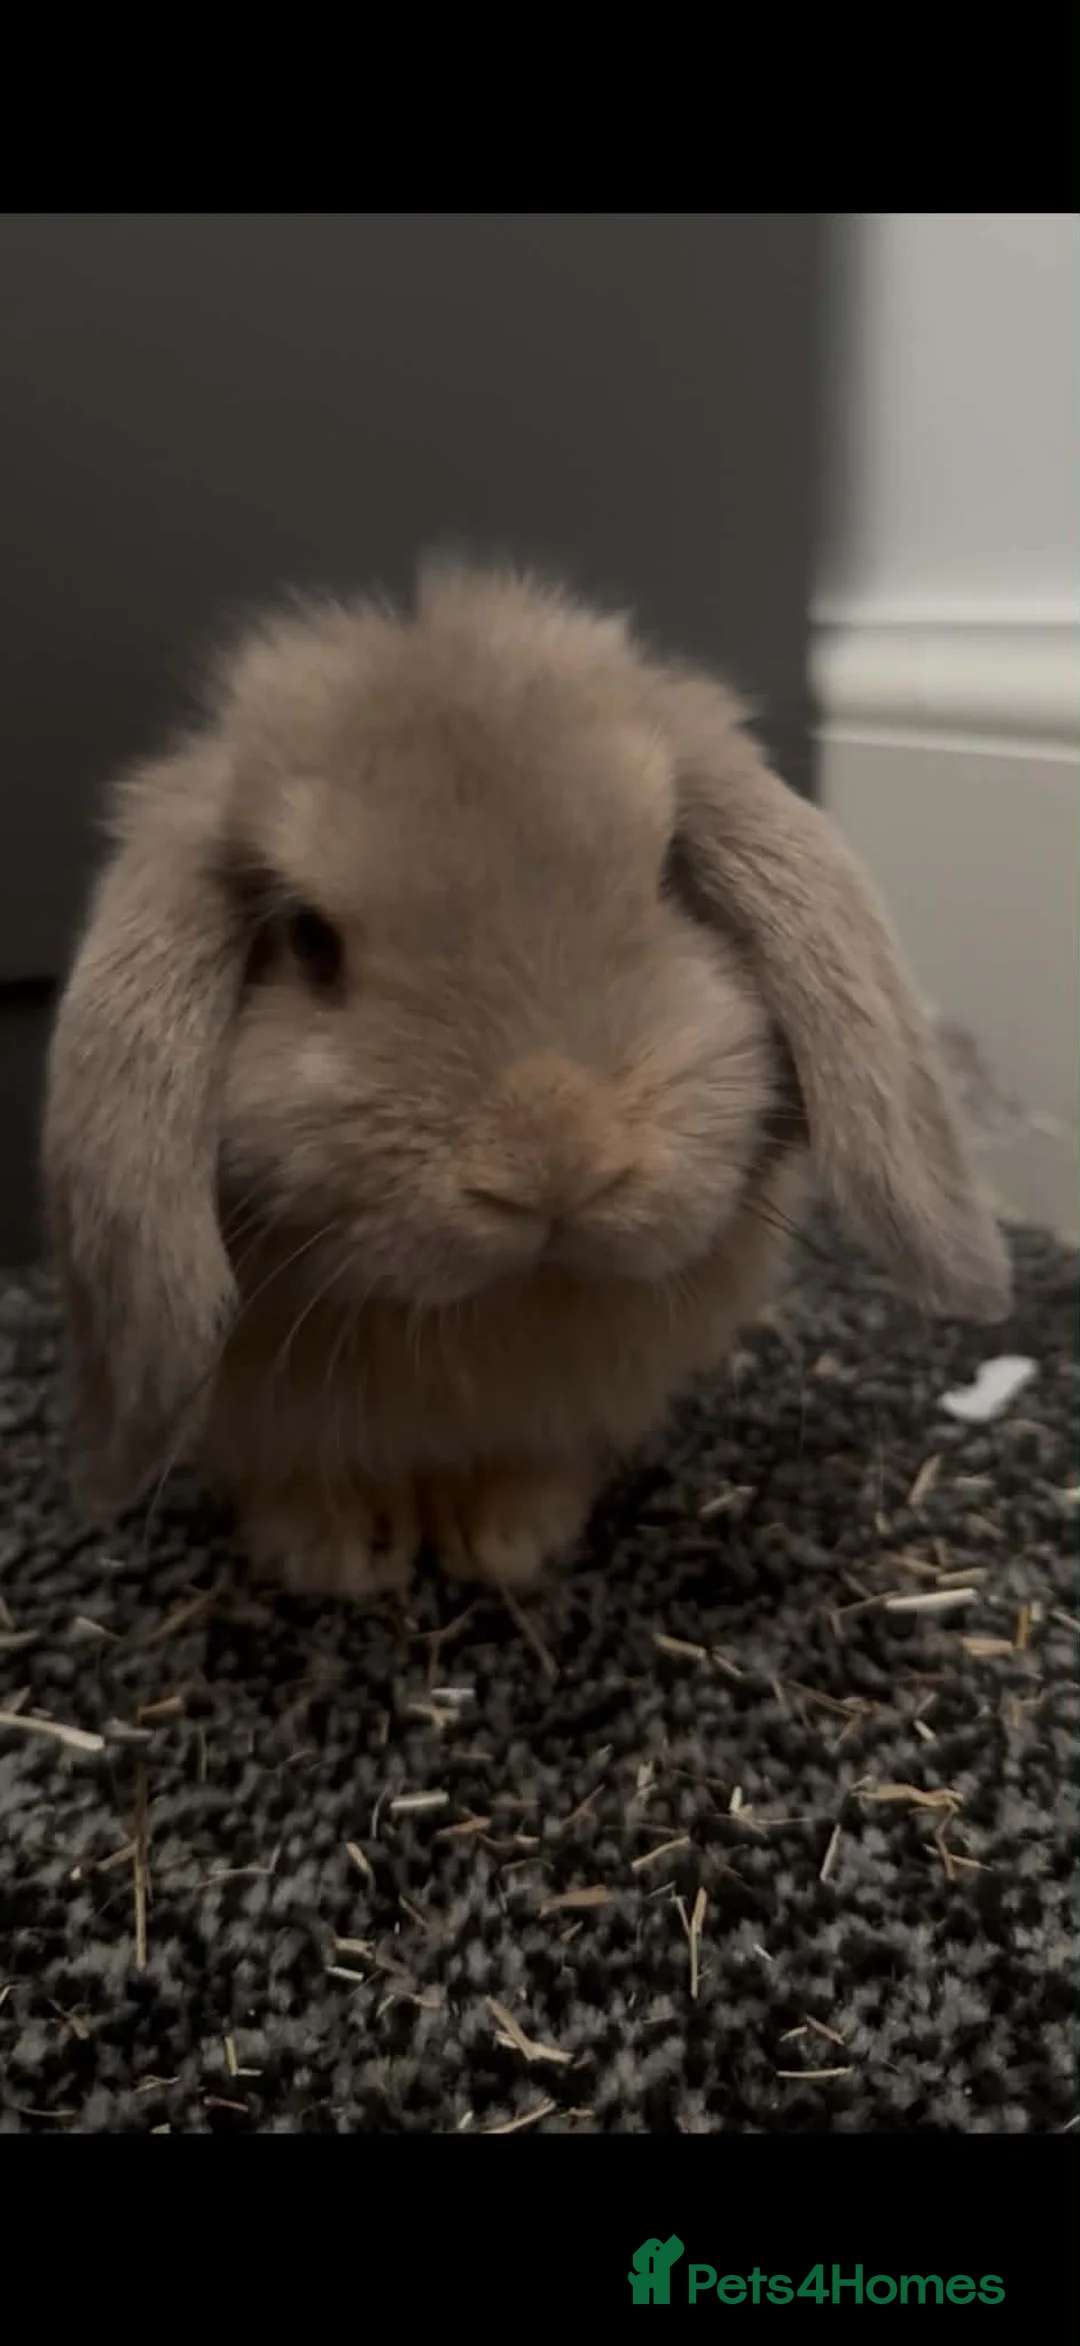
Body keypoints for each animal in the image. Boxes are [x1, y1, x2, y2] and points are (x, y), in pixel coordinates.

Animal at [43, 560, 1011, 1600]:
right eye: (309, 939)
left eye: (665, 879)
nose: (555, 1163)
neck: (501, 1312)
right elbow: (300, 1481)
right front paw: (339, 1559)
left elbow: (531, 1467)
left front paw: (507, 1542)